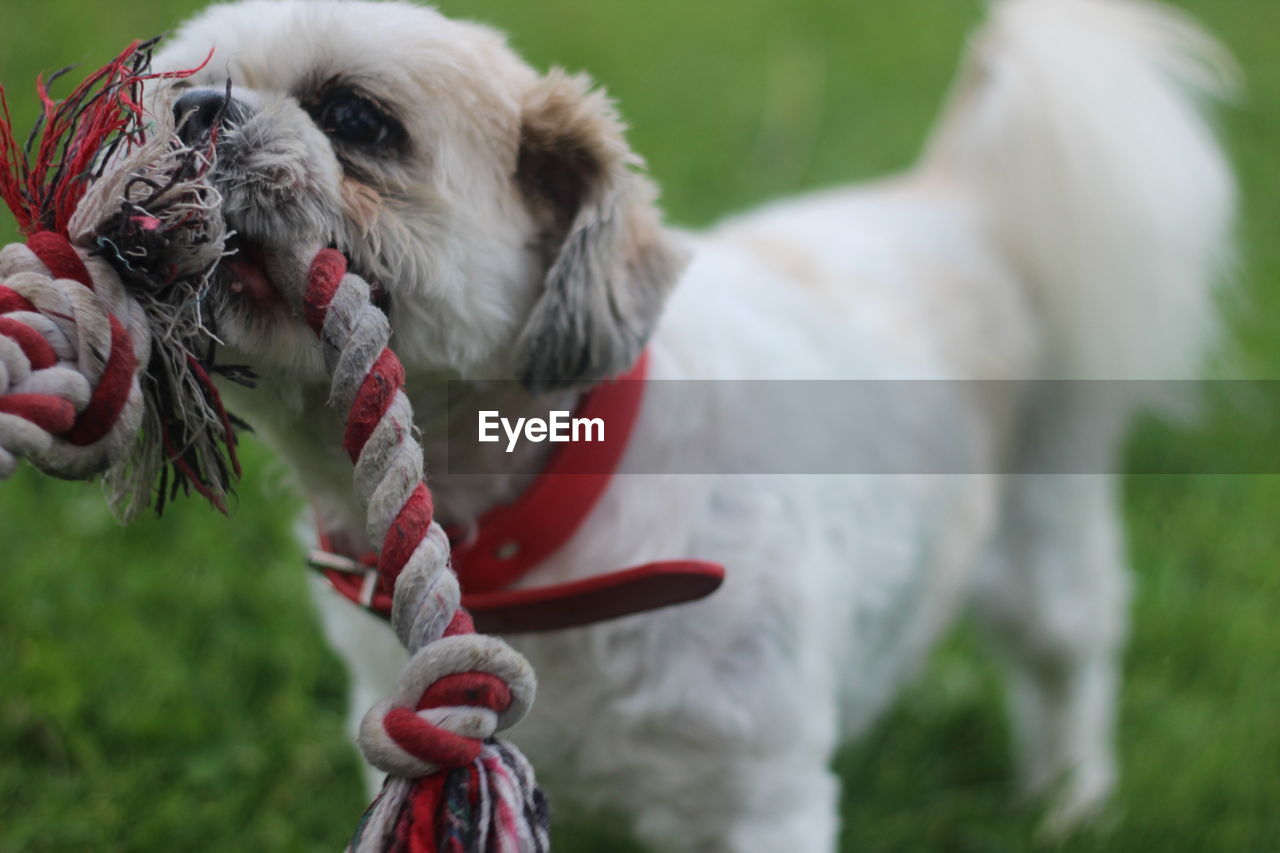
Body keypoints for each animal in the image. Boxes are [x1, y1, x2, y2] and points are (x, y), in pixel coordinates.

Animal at [149, 0, 1239, 845]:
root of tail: (954, 201)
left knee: (1066, 663)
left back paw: (1068, 801)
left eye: (355, 118)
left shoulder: (759, 800)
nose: (198, 111)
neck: (525, 548)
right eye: (162, 98)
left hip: (1048, 522)